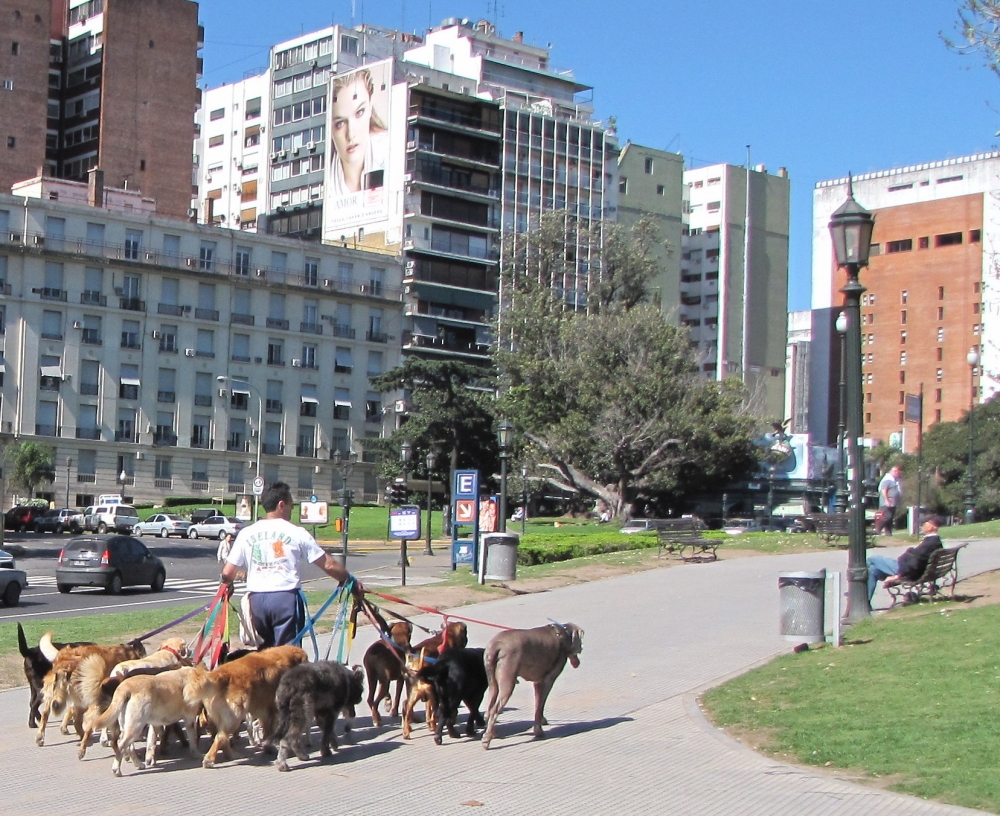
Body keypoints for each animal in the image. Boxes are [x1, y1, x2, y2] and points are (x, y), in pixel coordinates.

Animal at [480, 620, 584, 748]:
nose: (582, 648)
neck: (563, 633)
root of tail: (496, 645)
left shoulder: (537, 682)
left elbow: (538, 705)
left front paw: (542, 722)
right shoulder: (547, 680)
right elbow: (540, 706)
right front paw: (539, 731)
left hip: (492, 683)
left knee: (489, 709)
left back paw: (493, 733)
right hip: (507, 682)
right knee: (495, 710)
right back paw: (486, 740)